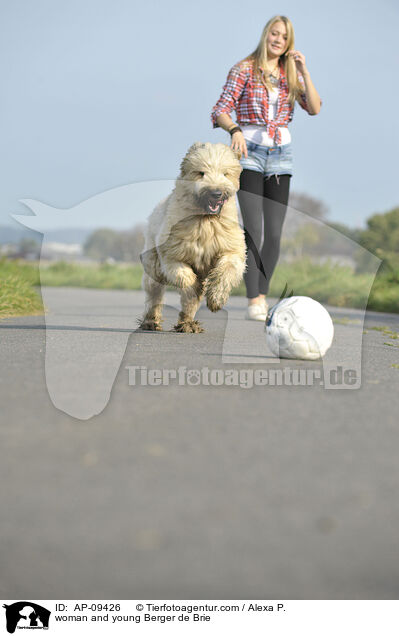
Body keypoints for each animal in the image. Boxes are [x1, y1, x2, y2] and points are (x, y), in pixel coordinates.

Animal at [140, 142, 247, 332]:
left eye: (225, 173)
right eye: (201, 172)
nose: (216, 193)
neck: (206, 221)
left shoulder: (230, 248)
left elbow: (227, 269)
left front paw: (216, 299)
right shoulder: (173, 256)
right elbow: (185, 278)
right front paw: (194, 286)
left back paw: (188, 324)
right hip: (153, 263)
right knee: (154, 292)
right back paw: (151, 321)